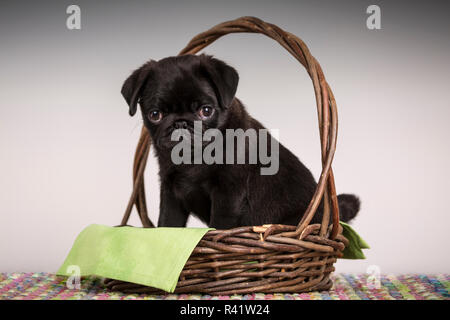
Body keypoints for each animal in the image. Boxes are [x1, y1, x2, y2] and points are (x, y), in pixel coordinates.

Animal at [121, 55, 360, 230]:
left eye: (206, 111)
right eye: (155, 115)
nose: (180, 123)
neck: (193, 159)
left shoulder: (228, 194)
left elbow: (220, 225)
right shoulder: (171, 192)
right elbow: (167, 223)